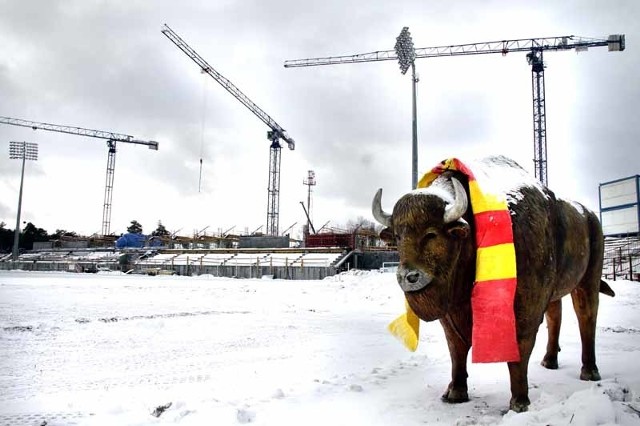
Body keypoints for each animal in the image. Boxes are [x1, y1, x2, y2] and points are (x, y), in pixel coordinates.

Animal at [372, 156, 612, 412]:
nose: (408, 276)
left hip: (588, 280)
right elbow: (456, 349)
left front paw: (519, 403)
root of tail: (590, 217)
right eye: (398, 236)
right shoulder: (451, 315)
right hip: (556, 293)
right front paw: (455, 392)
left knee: (586, 316)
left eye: (431, 234)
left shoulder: (525, 308)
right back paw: (549, 361)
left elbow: (519, 351)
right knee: (555, 316)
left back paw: (590, 372)